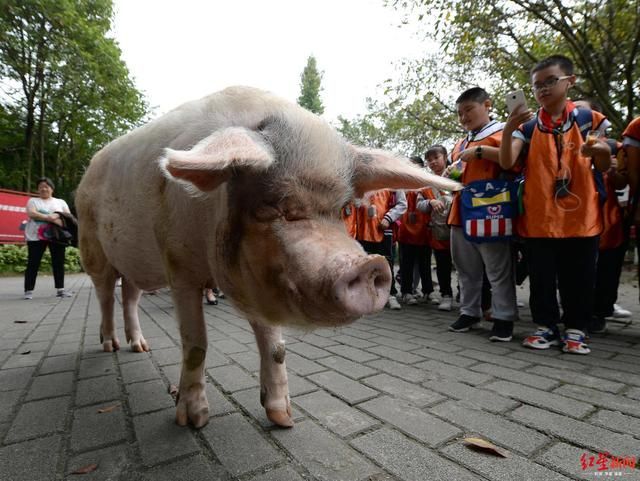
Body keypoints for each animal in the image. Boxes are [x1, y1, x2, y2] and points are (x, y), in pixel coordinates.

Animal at [76, 86, 460, 428]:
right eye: (278, 207)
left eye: (343, 210)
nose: (370, 265)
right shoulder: (179, 266)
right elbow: (196, 343)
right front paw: (194, 421)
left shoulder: (263, 280)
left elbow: (276, 348)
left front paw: (285, 420)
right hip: (92, 249)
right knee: (105, 295)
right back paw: (110, 346)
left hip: (134, 263)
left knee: (129, 295)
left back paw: (139, 348)